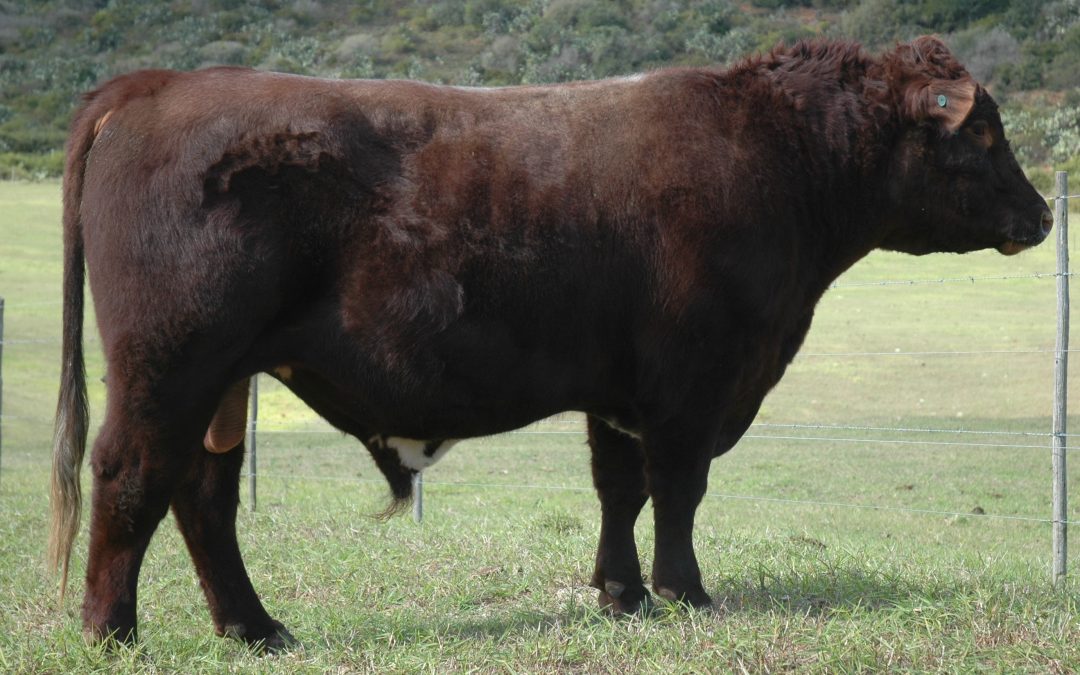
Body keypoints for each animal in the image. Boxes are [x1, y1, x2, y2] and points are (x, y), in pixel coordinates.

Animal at [50, 36, 1052, 651]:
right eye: (984, 129)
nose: (1042, 215)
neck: (780, 157)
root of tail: (159, 83)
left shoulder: (620, 389)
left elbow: (620, 489)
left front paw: (621, 593)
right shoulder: (694, 383)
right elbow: (677, 489)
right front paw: (685, 592)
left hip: (221, 382)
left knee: (203, 494)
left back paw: (257, 628)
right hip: (171, 365)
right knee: (133, 474)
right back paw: (112, 628)